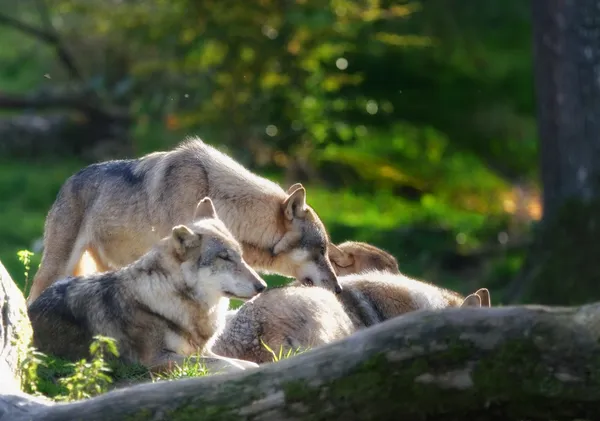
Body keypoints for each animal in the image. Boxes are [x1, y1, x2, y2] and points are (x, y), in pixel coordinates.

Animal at [27, 197, 268, 370]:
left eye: (241, 256)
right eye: (225, 258)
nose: (262, 287)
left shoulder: (201, 352)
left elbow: (247, 363)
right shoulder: (157, 359)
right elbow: (233, 366)